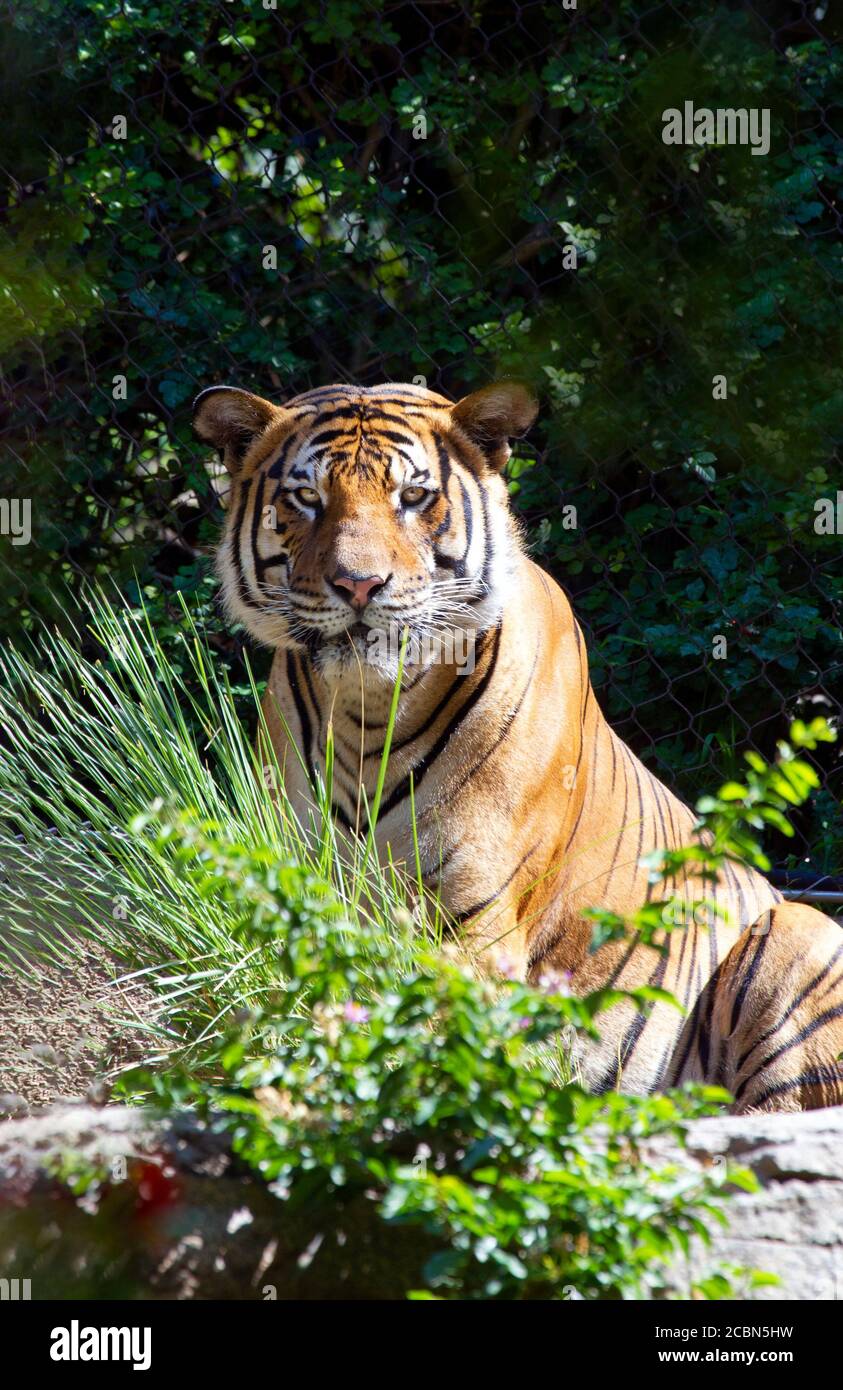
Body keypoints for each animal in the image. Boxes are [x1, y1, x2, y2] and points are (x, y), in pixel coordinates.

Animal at [194, 378, 843, 1113]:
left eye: (413, 497)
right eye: (306, 497)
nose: (359, 585)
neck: (368, 713)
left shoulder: (473, 914)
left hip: (797, 933)